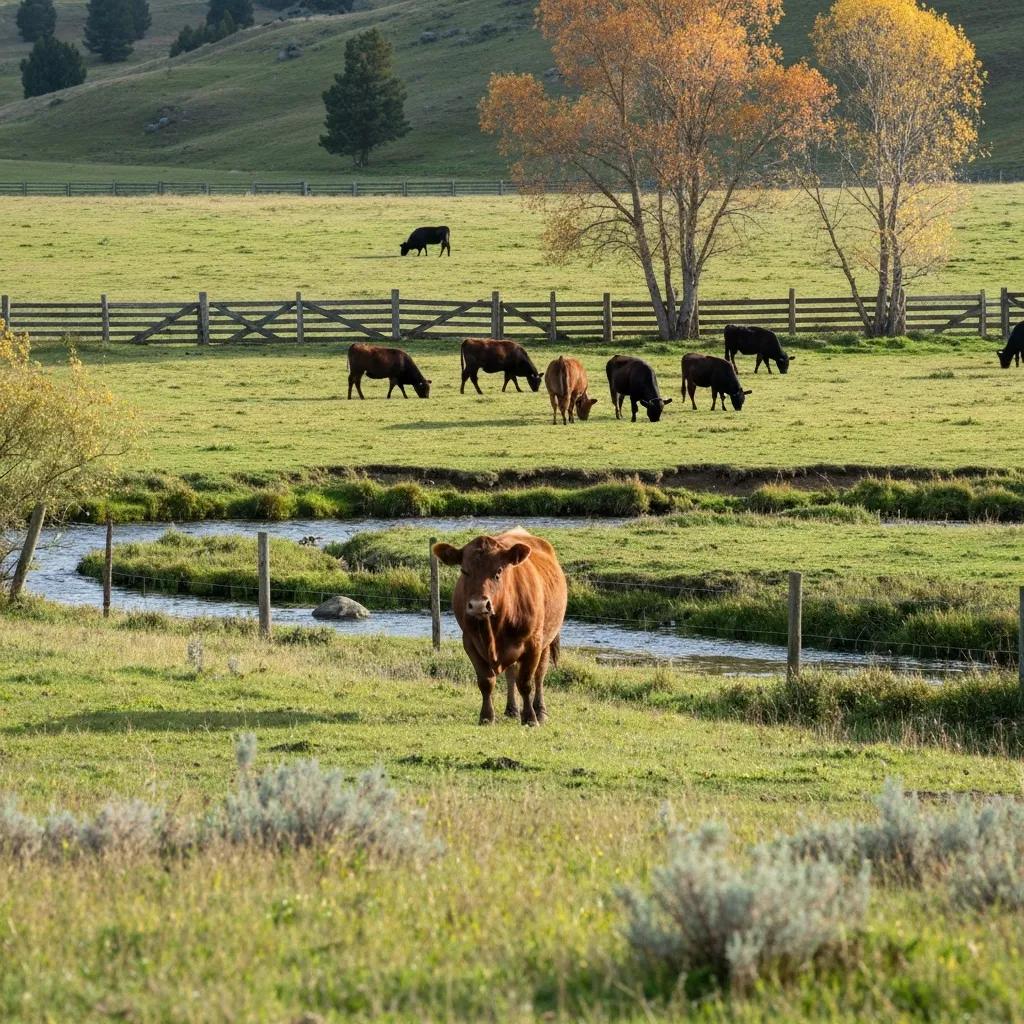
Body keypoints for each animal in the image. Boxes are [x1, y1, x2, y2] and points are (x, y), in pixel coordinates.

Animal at [432, 529, 567, 726]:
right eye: (464, 571)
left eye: (498, 571)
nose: (479, 605)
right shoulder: (469, 642)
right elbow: (486, 681)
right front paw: (487, 716)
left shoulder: (533, 643)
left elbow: (525, 683)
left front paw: (530, 718)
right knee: (511, 673)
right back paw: (512, 709)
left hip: (546, 639)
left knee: (539, 674)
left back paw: (540, 711)